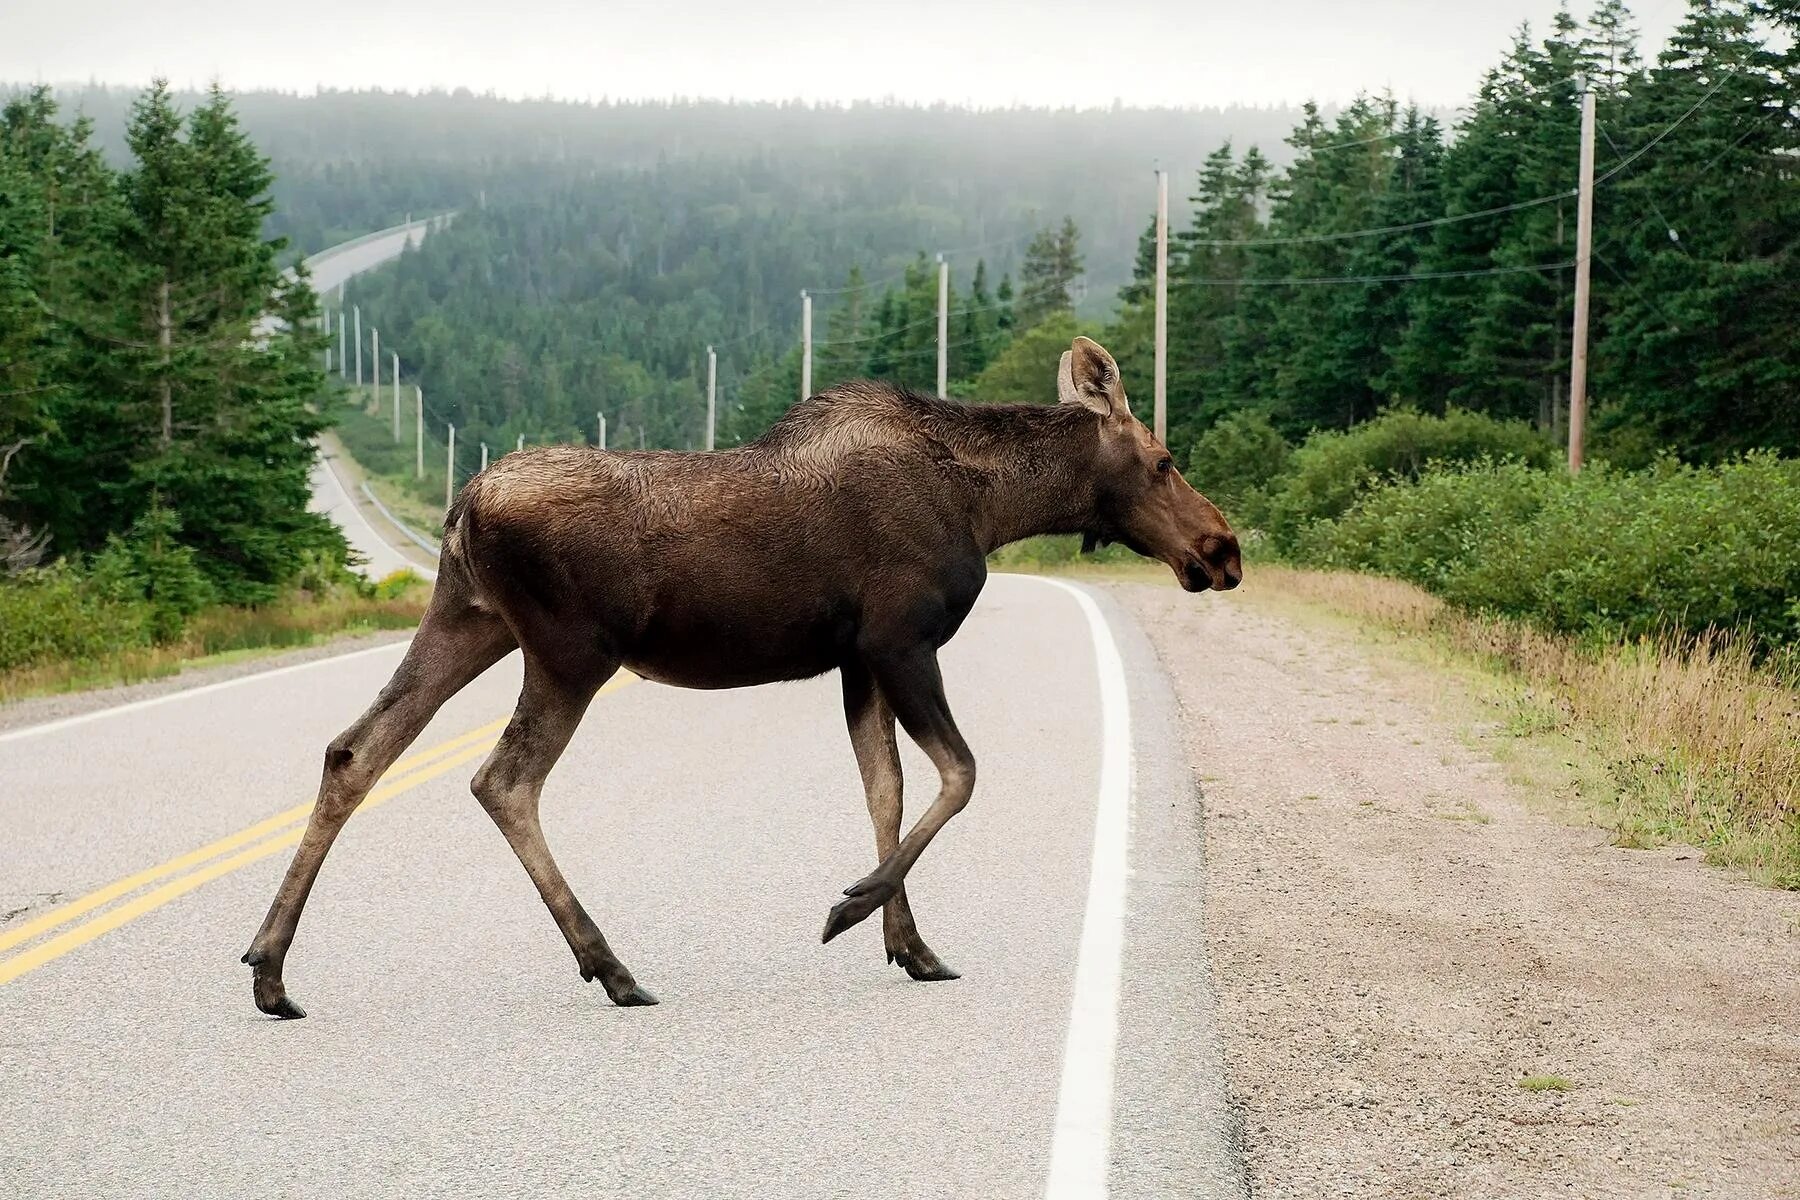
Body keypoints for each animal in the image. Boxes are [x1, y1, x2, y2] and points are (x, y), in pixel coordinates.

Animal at [243, 336, 1238, 1014]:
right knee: (503, 779)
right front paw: (851, 907)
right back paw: (611, 966)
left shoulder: (855, 660)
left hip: (468, 620)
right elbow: (959, 773)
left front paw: (911, 945)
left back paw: (271, 967)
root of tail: (461, 507)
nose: (1223, 551)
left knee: (355, 751)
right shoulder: (900, 640)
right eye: (1163, 460)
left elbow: (886, 787)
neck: (989, 503)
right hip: (569, 652)